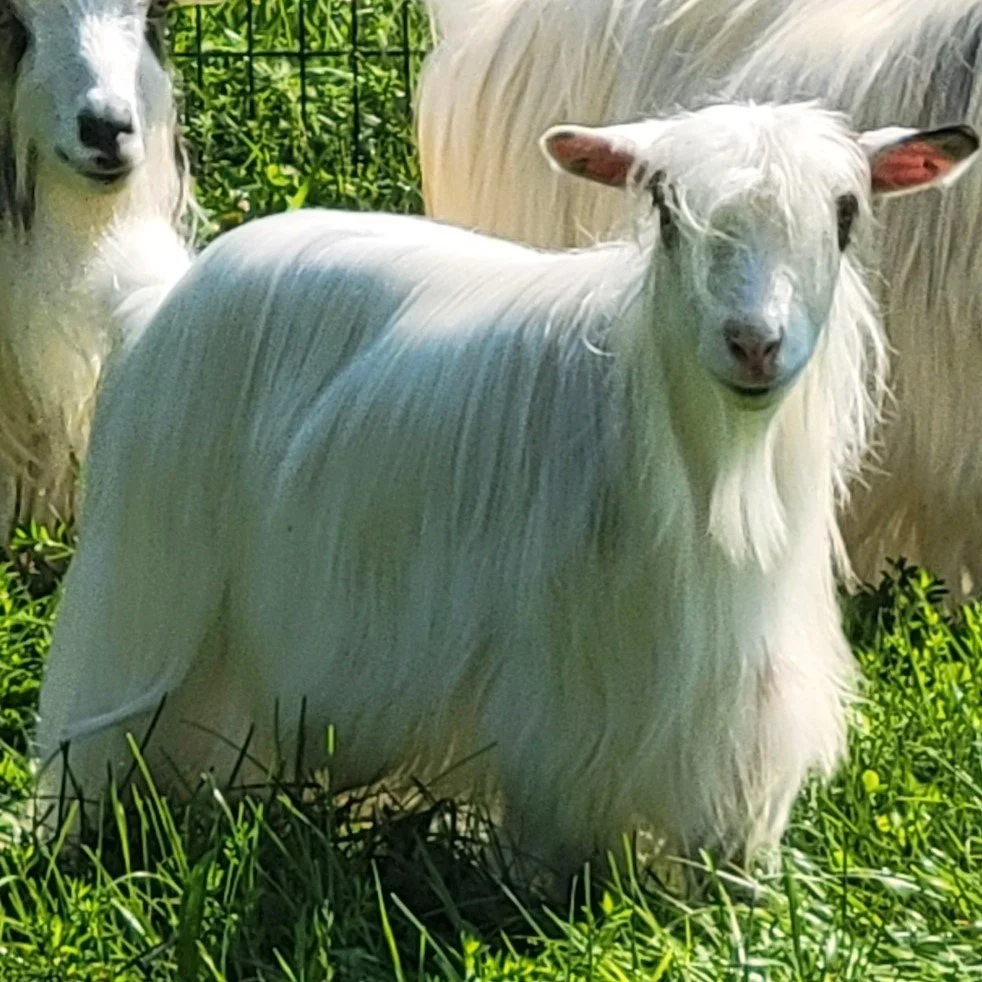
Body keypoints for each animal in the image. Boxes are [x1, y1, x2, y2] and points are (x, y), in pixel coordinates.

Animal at [34, 103, 973, 884]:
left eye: (846, 213)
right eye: (667, 212)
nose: (753, 343)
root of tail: (161, 298)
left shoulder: (744, 694)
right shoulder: (559, 695)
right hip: (143, 588)